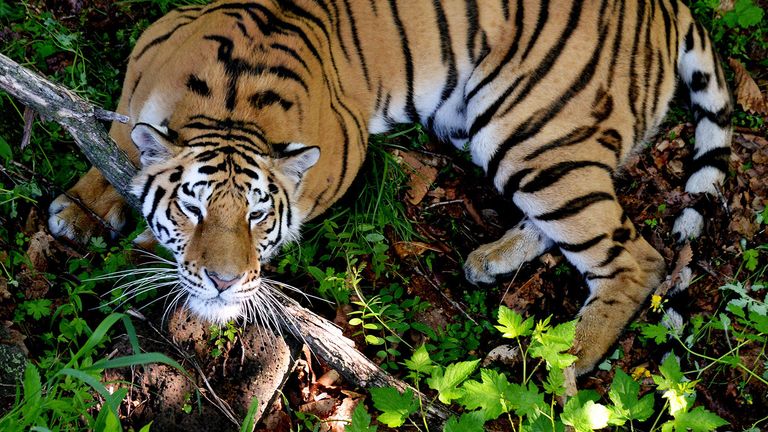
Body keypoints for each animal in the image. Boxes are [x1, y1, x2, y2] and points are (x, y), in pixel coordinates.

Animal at [47, 0, 732, 375]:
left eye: (259, 217)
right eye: (190, 209)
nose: (220, 281)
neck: (230, 106)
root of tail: (664, 5)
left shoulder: (340, 151)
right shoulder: (143, 65)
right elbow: (111, 133)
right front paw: (81, 210)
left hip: (529, 130)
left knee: (634, 257)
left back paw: (551, 371)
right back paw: (490, 263)